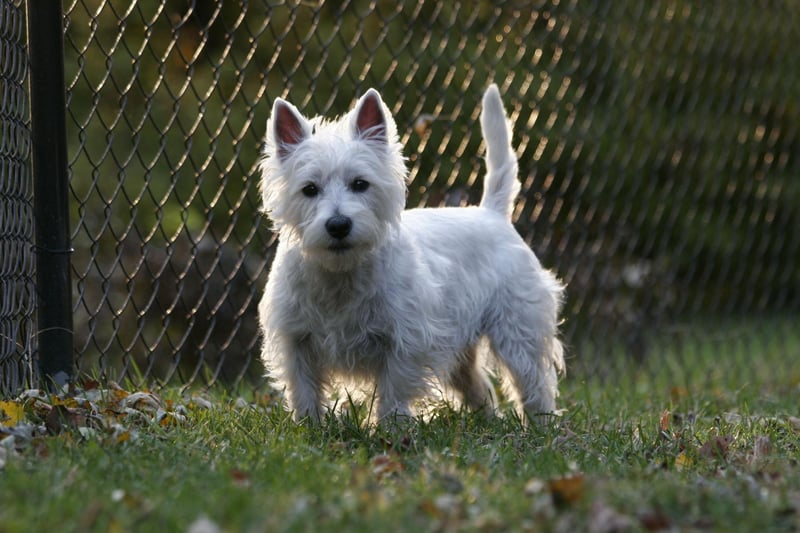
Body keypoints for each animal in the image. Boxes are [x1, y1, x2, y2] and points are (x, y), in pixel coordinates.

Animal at [256, 85, 564, 422]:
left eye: (360, 184)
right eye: (309, 189)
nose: (338, 225)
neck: (341, 274)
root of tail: (492, 213)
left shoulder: (406, 339)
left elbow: (394, 389)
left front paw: (390, 427)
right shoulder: (295, 340)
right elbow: (304, 391)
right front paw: (310, 426)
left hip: (517, 329)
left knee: (532, 381)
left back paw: (541, 424)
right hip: (464, 348)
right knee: (478, 386)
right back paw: (489, 421)